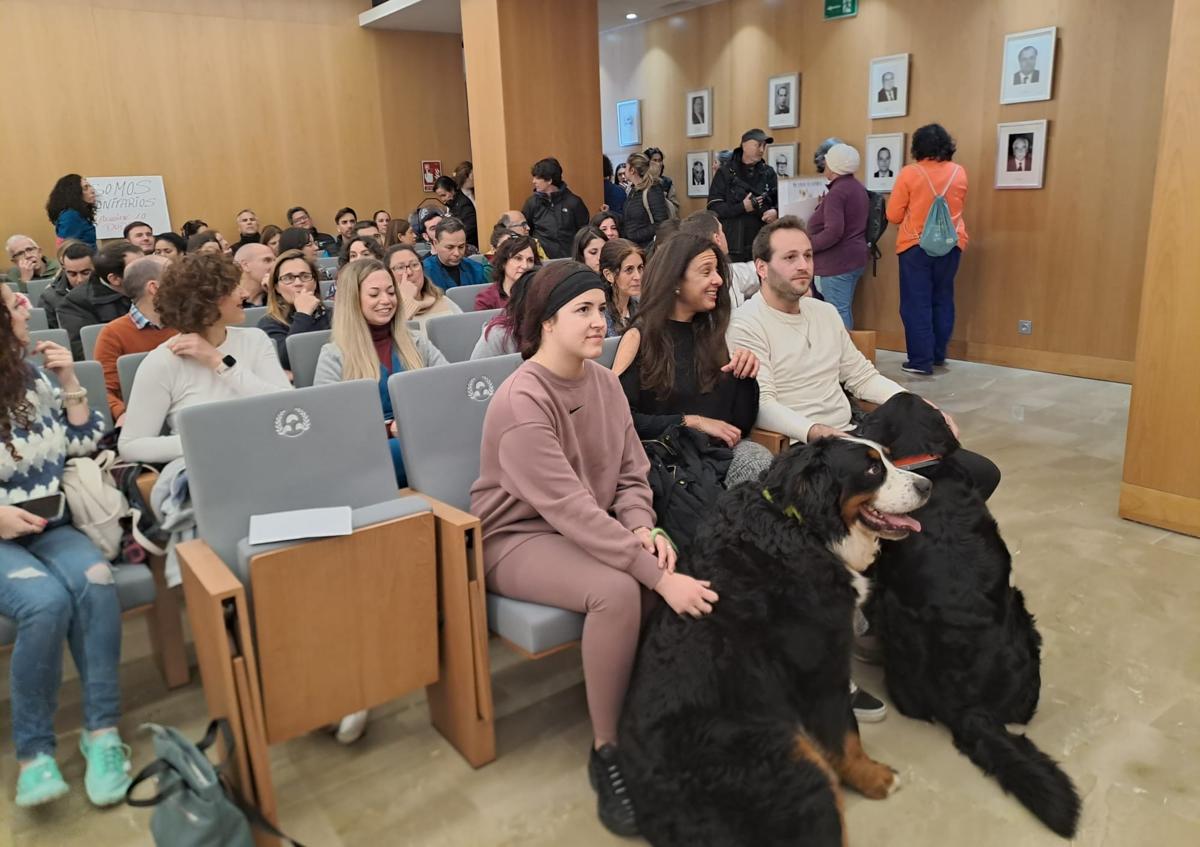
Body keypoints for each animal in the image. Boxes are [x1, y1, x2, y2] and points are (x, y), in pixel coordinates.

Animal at [619, 436, 926, 844]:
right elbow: (845, 737)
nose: (927, 485)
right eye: (873, 469)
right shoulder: (822, 668)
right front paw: (874, 777)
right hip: (795, 767)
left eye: (888, 458)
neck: (800, 528)